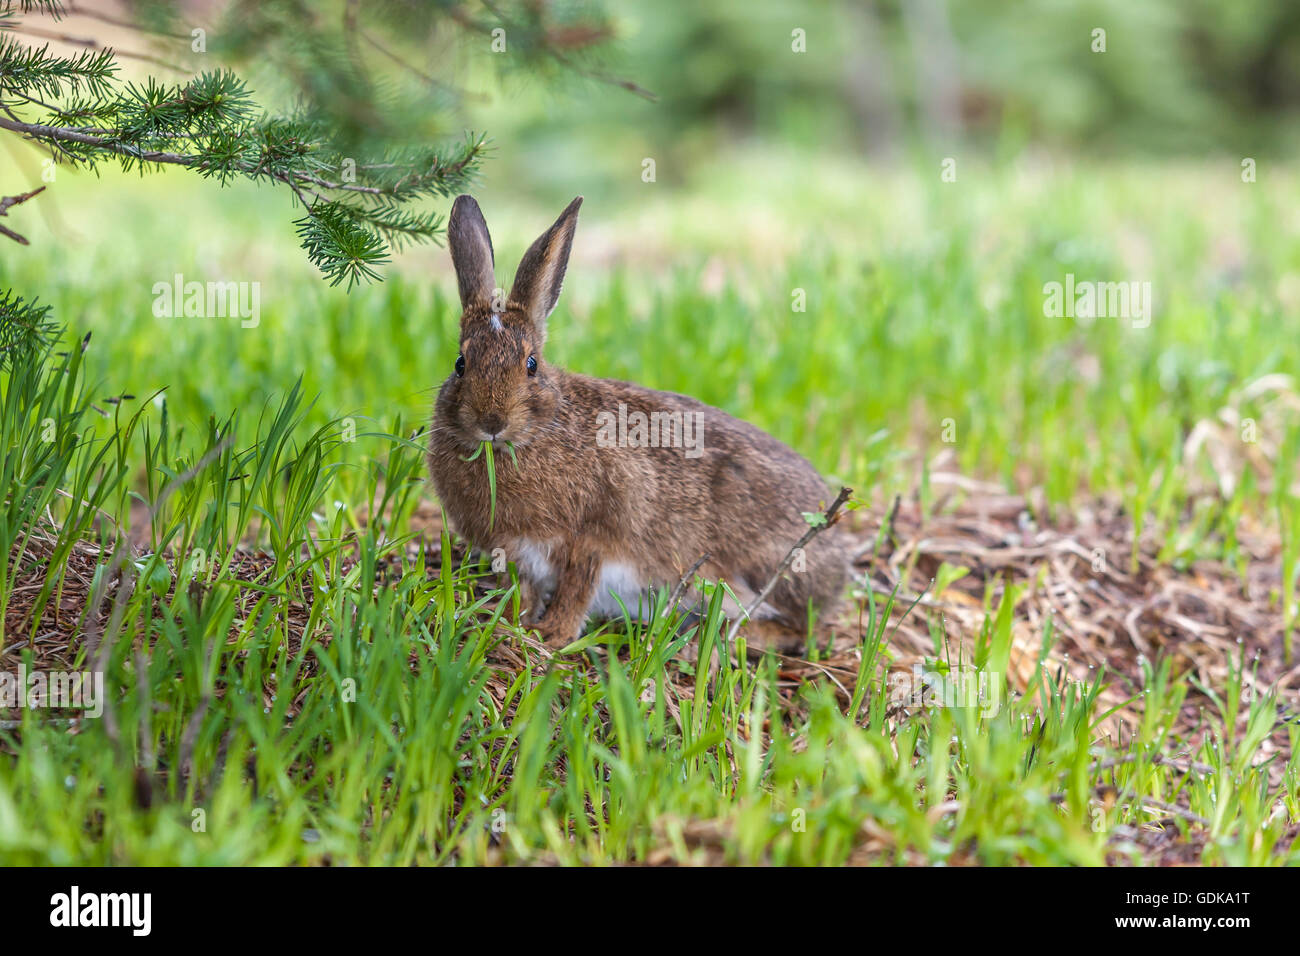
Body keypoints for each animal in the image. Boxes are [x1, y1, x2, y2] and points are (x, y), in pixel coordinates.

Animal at [426, 194, 851, 649]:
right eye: (460, 364)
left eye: (531, 365)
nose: (491, 420)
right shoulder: (516, 554)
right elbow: (521, 592)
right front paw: (510, 623)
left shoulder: (595, 537)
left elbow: (576, 590)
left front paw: (552, 635)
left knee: (793, 625)